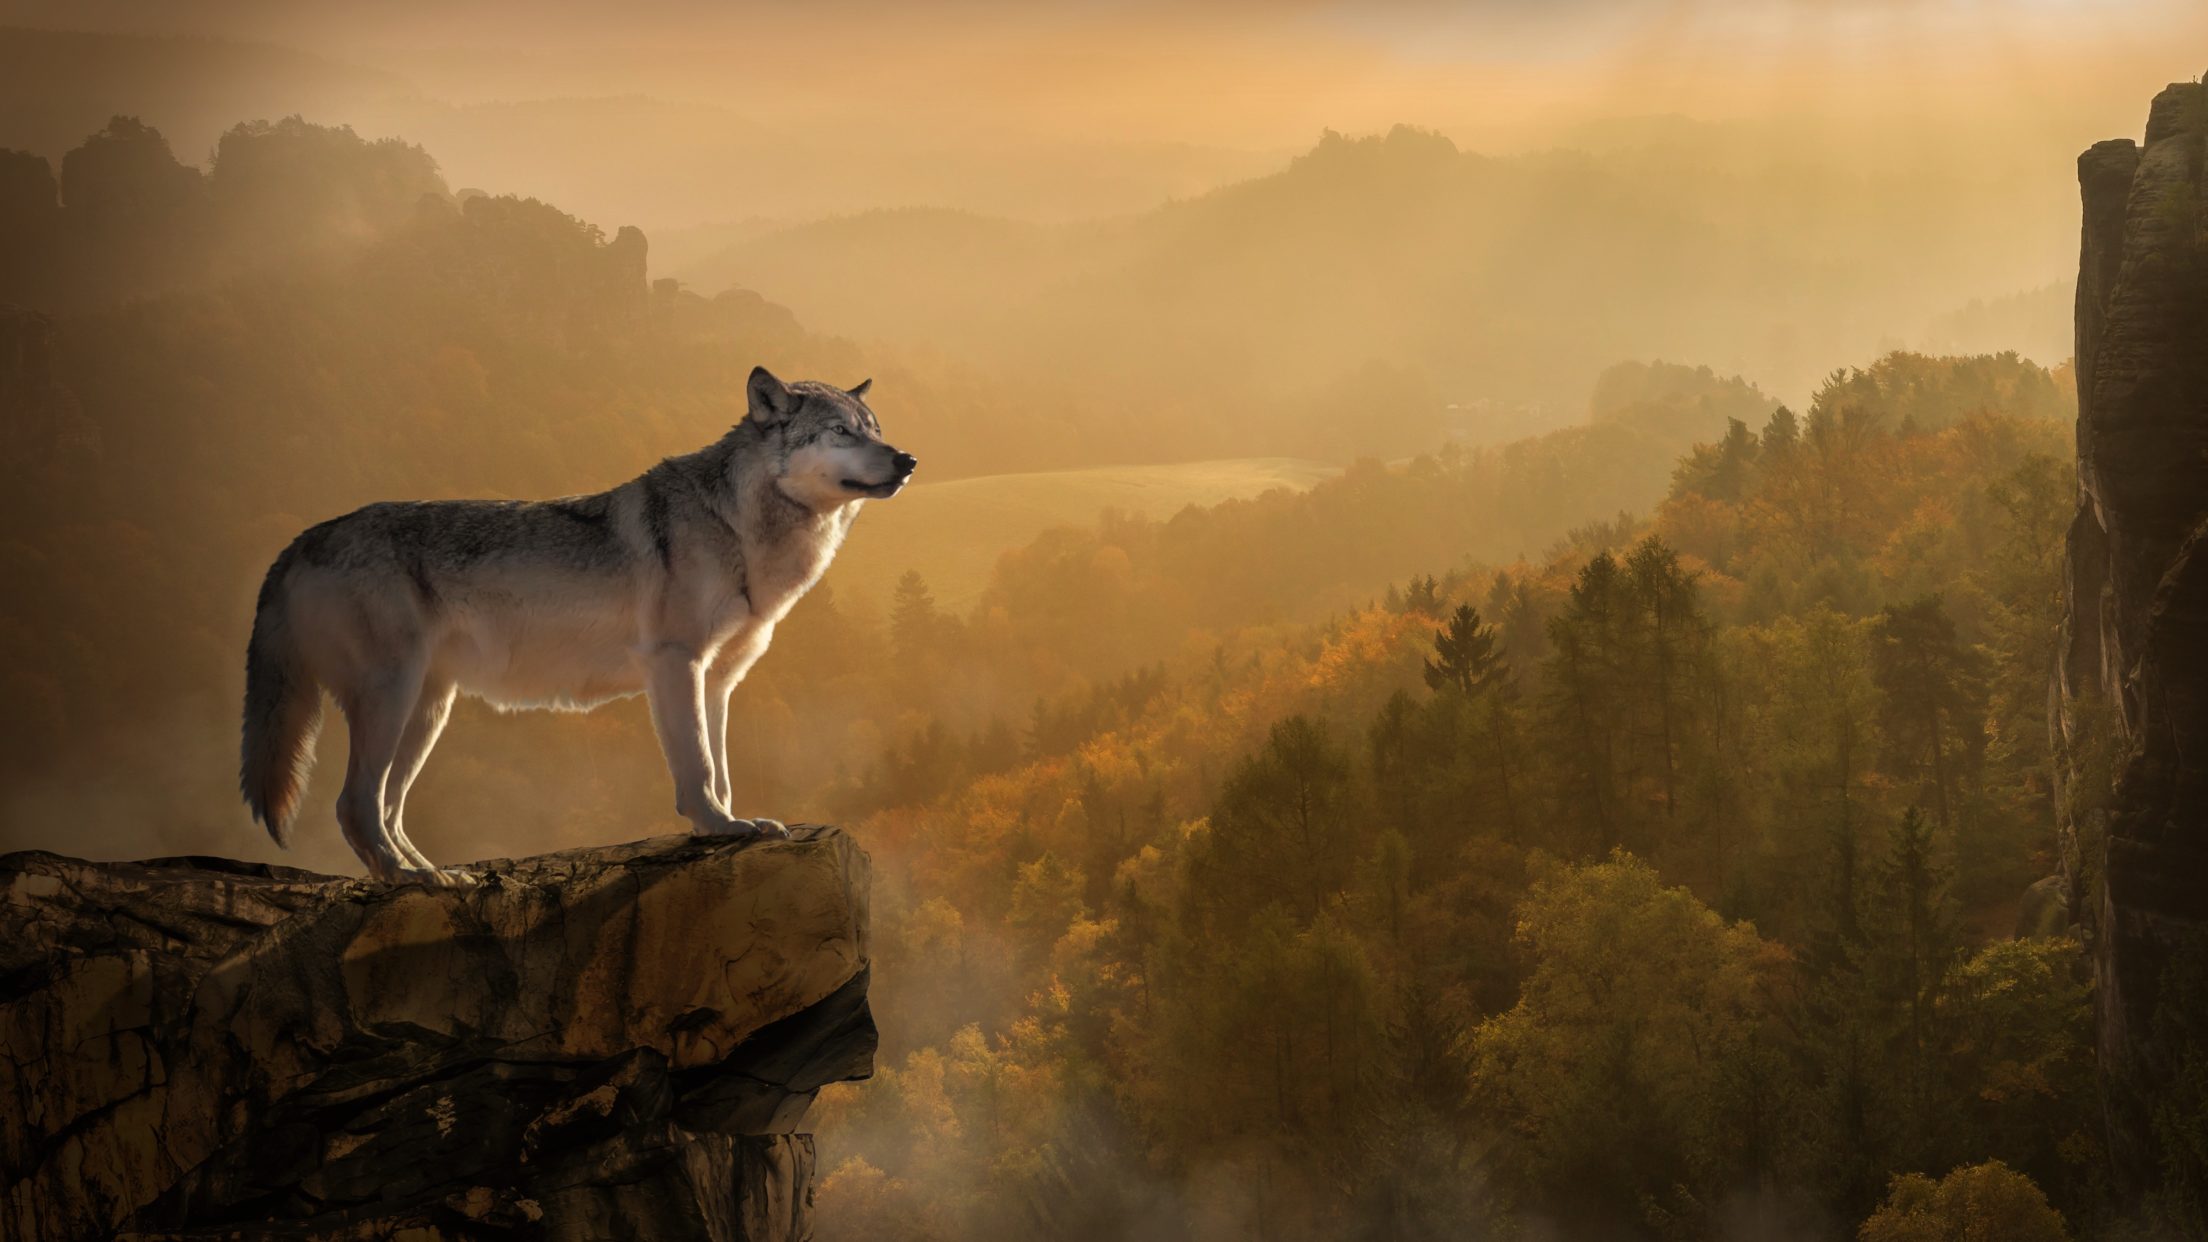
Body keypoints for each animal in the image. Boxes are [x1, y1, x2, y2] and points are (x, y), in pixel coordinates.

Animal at [239, 367, 914, 885]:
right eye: (840, 432)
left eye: (876, 429)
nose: (908, 459)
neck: (738, 526)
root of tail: (300, 541)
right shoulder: (676, 664)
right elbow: (697, 768)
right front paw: (718, 827)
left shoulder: (718, 681)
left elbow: (721, 769)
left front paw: (733, 823)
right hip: (393, 698)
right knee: (355, 804)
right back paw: (406, 879)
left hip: (428, 711)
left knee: (389, 807)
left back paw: (435, 875)